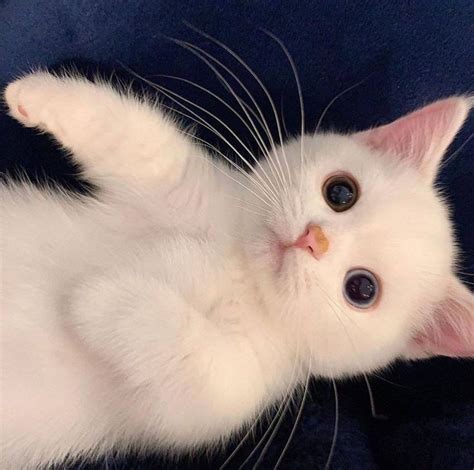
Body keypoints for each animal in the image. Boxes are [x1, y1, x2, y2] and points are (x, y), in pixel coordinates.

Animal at [0, 71, 474, 468]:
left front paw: (98, 298)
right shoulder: (187, 192)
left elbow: (200, 367)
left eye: (361, 289)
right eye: (341, 192)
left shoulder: (229, 388)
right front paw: (35, 94)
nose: (313, 240)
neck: (242, 273)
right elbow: (145, 144)